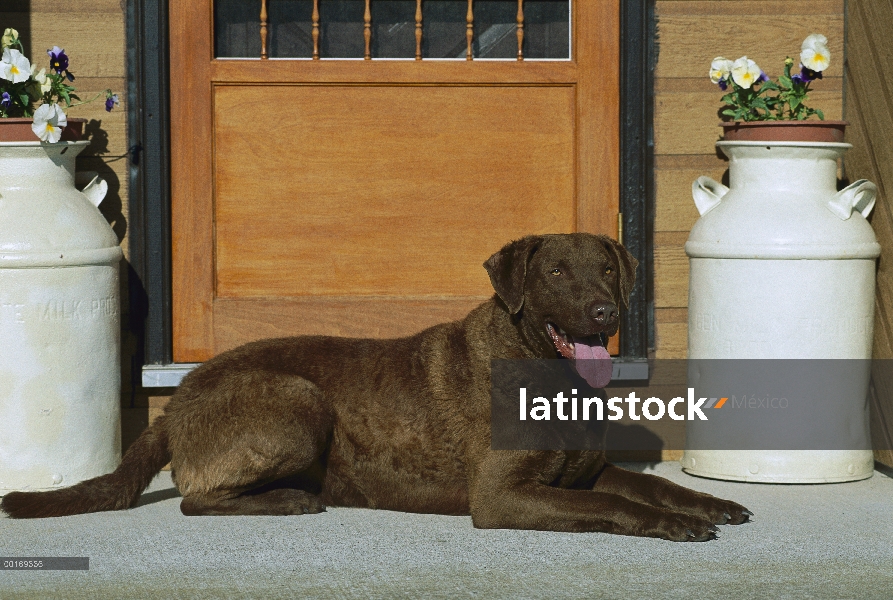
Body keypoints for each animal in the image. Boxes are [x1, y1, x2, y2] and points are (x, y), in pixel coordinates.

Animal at [3, 233, 748, 540]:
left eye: (606, 269)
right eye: (556, 273)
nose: (604, 312)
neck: (551, 376)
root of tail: (175, 401)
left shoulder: (584, 472)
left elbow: (651, 486)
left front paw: (706, 504)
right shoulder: (501, 496)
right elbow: (616, 506)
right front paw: (675, 526)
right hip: (298, 400)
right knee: (193, 499)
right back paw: (289, 501)